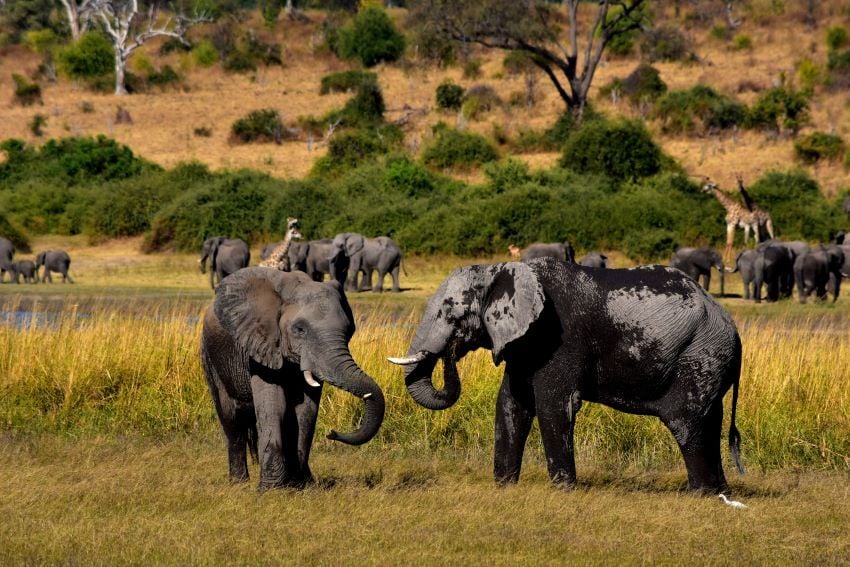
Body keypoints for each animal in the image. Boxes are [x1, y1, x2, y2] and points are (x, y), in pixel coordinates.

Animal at [200, 267, 385, 490]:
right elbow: (274, 405)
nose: (331, 433)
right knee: (232, 419)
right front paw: (271, 490)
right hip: (211, 356)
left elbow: (306, 410)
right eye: (300, 330)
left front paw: (302, 486)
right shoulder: (261, 346)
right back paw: (239, 484)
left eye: (349, 330)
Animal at [389, 258, 744, 494]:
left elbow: (553, 406)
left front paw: (563, 491)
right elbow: (511, 405)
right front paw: (504, 487)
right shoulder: (526, 343)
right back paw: (720, 493)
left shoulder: (559, 337)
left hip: (700, 354)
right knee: (710, 422)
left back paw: (700, 494)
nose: (450, 352)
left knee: (687, 423)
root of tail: (732, 328)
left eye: (452, 313)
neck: (502, 269)